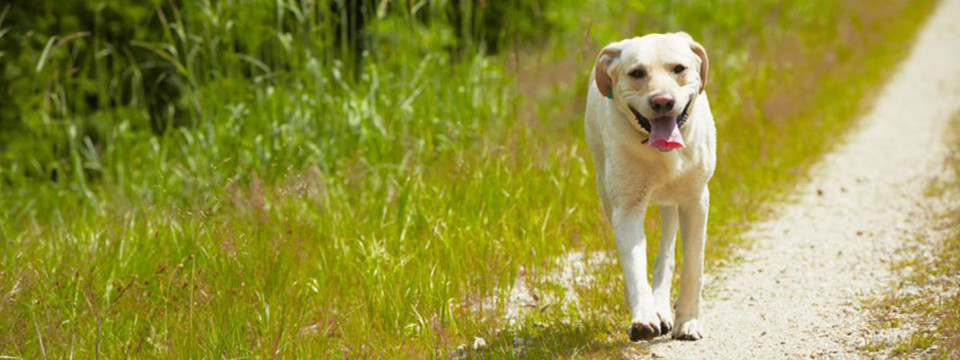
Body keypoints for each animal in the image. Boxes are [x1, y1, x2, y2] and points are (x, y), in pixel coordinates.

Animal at [584, 32, 712, 342]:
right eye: (637, 73)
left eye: (679, 68)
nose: (662, 101)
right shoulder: (626, 209)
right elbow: (633, 264)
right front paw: (643, 318)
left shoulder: (695, 200)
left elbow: (693, 266)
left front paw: (688, 321)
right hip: (606, 194)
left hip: (672, 204)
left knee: (665, 254)